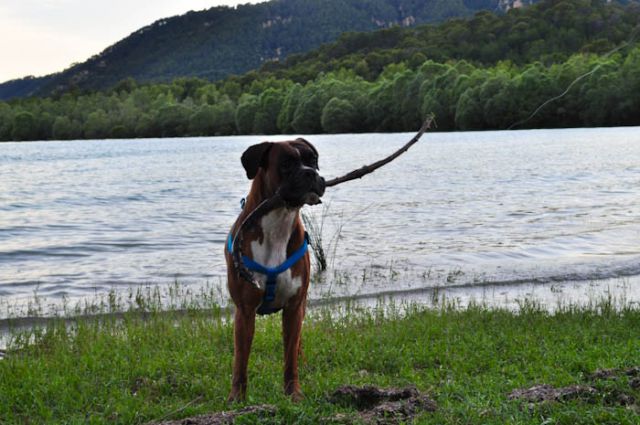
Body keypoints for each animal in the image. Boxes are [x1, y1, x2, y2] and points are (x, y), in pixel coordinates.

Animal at [225, 138, 324, 400]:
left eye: (313, 160)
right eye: (286, 163)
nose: (311, 173)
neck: (278, 221)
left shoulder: (293, 308)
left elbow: (290, 358)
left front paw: (293, 393)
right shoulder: (245, 311)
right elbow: (240, 361)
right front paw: (237, 397)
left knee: (297, 346)